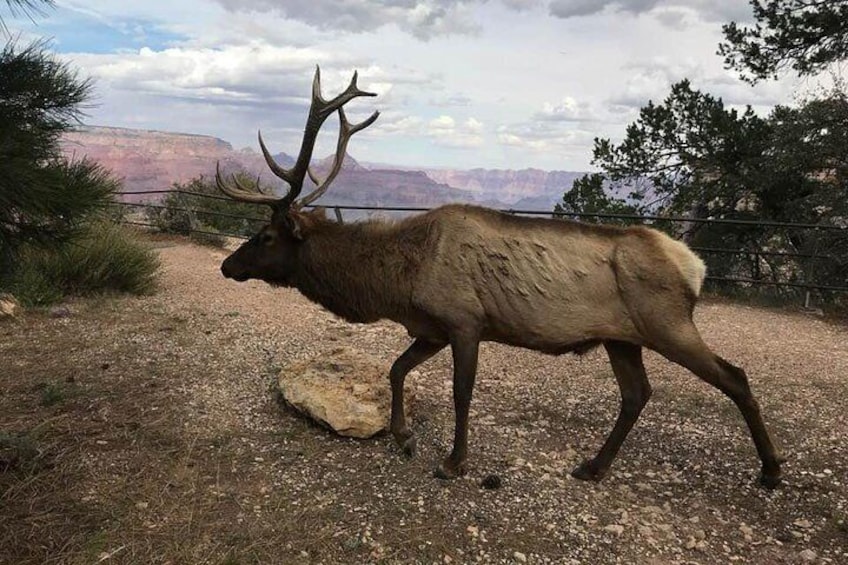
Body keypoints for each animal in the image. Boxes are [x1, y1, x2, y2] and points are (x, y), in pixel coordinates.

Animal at [215, 67, 784, 490]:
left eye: (266, 235)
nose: (227, 265)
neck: (398, 282)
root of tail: (694, 263)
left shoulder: (465, 320)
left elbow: (461, 393)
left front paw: (453, 462)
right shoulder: (429, 328)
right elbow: (396, 370)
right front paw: (403, 436)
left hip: (668, 323)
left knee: (735, 376)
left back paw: (772, 471)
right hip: (621, 337)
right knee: (637, 394)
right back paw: (593, 466)